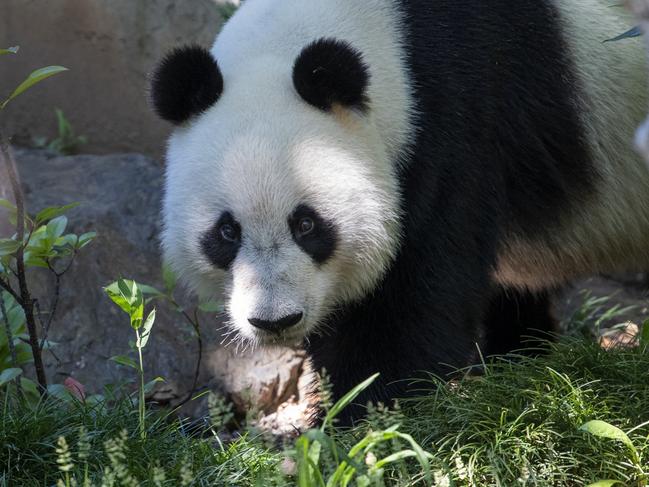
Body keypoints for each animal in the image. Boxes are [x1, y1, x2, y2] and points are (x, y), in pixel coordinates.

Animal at [149, 0, 648, 424]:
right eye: (227, 232)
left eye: (307, 224)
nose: (275, 321)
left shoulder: (453, 122)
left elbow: (412, 298)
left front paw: (364, 418)